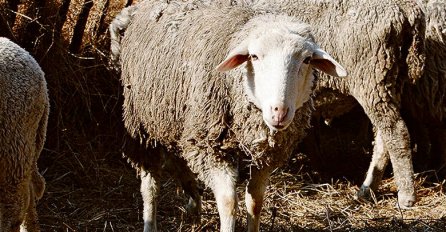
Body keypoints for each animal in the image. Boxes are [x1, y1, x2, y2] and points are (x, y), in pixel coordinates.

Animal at [110, 2, 346, 232]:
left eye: (307, 60)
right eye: (254, 56)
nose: (279, 111)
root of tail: (134, 10)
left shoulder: (266, 157)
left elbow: (255, 202)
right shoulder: (210, 148)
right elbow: (228, 203)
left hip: (175, 120)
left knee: (179, 161)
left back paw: (194, 204)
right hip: (142, 126)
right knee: (151, 185)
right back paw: (151, 222)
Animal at [240, 0, 426, 208]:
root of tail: (404, 7)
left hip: (371, 77)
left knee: (396, 133)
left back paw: (406, 196)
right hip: (391, 80)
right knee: (383, 138)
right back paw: (367, 190)